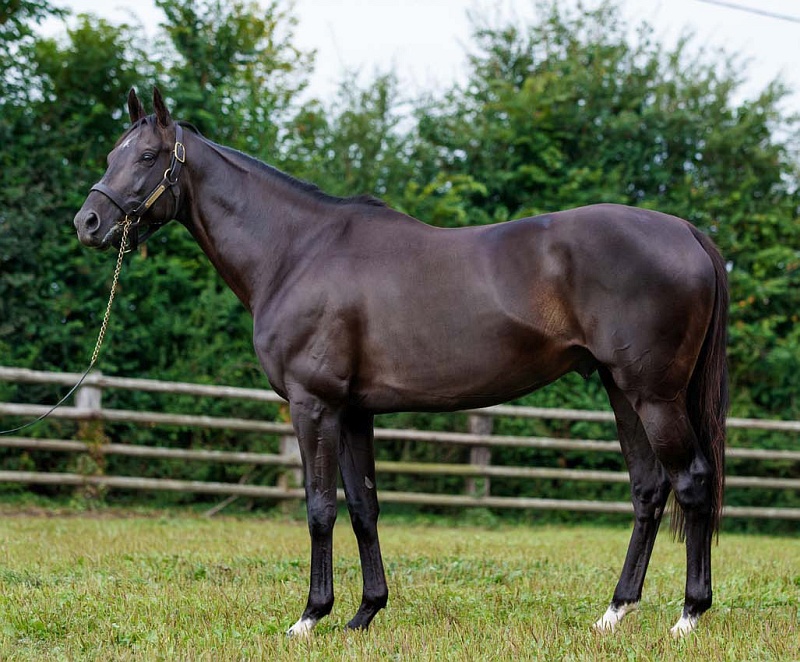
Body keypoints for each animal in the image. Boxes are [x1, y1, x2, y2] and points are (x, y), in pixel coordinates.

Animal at [76, 88, 732, 640]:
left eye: (148, 156)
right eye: (111, 154)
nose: (88, 222)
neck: (296, 251)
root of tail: (687, 231)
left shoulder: (314, 405)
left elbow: (320, 507)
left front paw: (309, 618)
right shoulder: (353, 411)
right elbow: (363, 507)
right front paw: (364, 614)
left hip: (653, 395)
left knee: (692, 480)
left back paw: (688, 616)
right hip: (621, 390)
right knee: (649, 489)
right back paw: (614, 613)